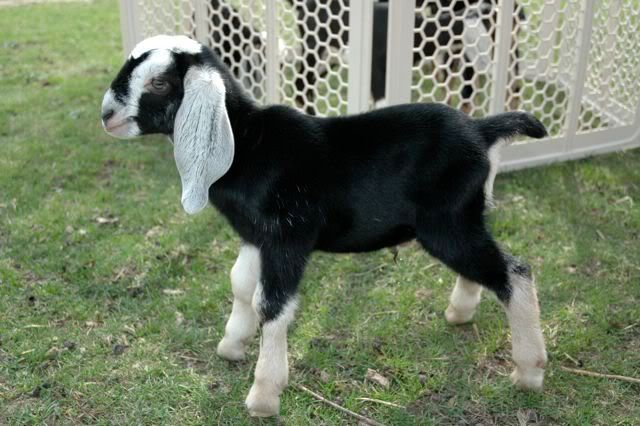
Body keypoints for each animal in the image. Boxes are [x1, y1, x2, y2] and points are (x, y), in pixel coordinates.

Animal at [101, 35, 547, 418]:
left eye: (159, 82)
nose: (107, 114)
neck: (248, 145)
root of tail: (482, 130)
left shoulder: (288, 238)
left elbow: (271, 303)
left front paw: (264, 394)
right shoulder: (255, 237)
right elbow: (241, 285)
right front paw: (232, 344)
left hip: (447, 223)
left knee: (514, 271)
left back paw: (529, 370)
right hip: (462, 220)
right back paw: (461, 312)